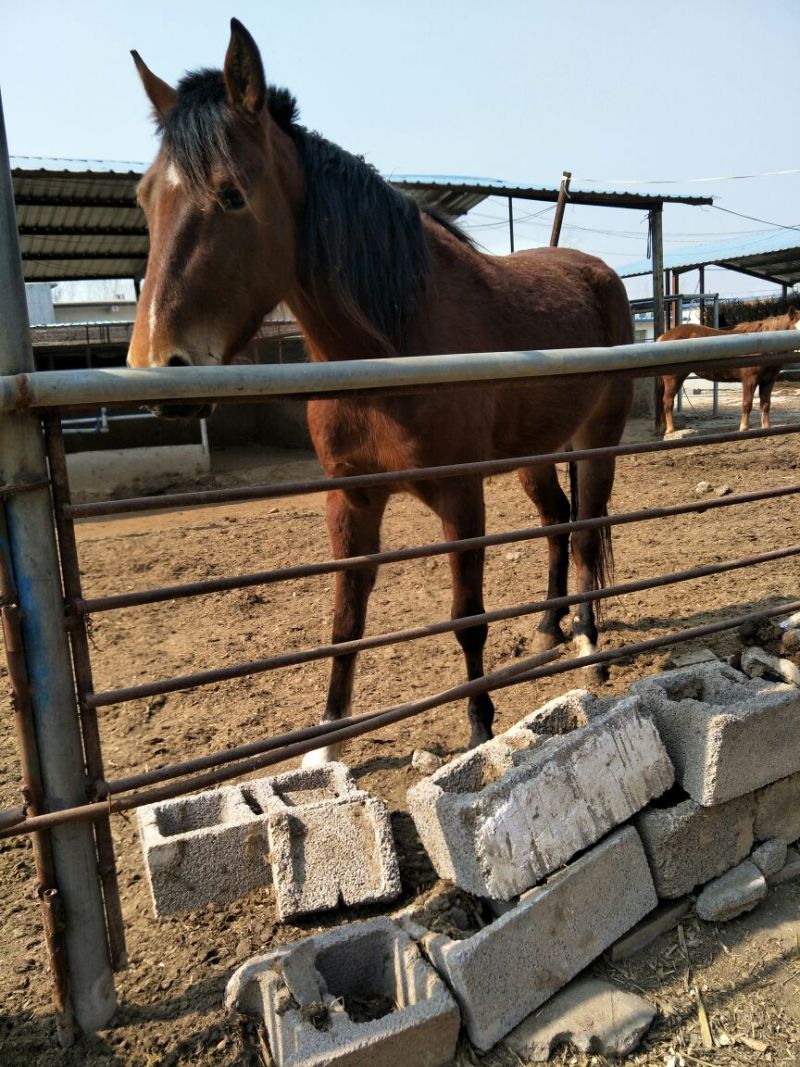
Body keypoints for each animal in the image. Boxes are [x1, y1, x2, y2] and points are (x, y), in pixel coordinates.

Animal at [127, 19, 634, 758]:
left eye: (232, 193)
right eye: (145, 198)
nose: (156, 365)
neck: (389, 348)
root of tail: (597, 271)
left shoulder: (461, 495)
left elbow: (466, 615)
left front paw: (479, 727)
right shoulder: (352, 497)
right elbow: (346, 619)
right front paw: (329, 742)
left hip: (598, 440)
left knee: (591, 527)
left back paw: (590, 645)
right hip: (537, 454)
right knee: (558, 521)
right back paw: (549, 627)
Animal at [655, 308, 800, 434]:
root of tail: (663, 337)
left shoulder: (768, 381)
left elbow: (765, 404)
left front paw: (766, 428)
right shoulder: (750, 380)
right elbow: (747, 404)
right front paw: (744, 428)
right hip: (674, 379)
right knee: (667, 402)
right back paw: (670, 430)